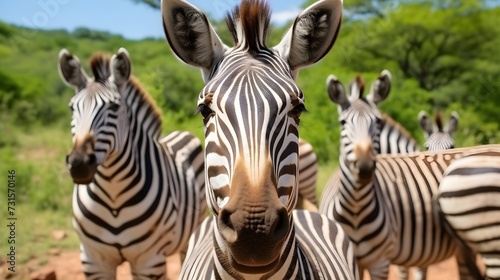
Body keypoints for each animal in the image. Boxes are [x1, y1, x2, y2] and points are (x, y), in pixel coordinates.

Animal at [57, 48, 206, 280]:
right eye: (72, 108)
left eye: (114, 107)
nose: (79, 164)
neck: (113, 195)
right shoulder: (93, 259)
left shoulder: (148, 260)